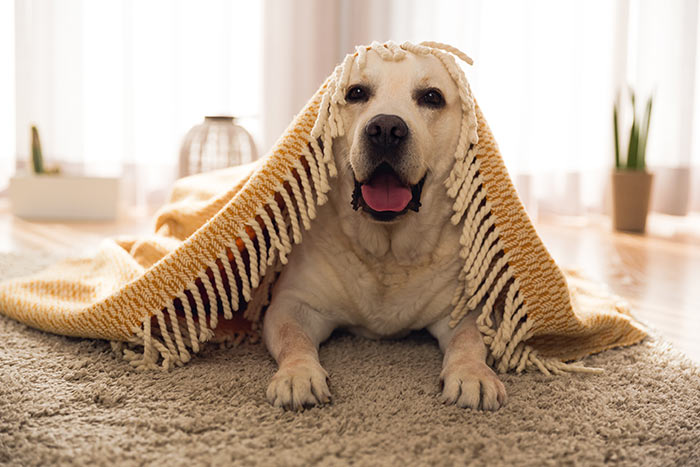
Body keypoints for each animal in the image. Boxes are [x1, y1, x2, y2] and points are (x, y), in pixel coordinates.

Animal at [260, 49, 506, 412]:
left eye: (432, 97)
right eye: (356, 93)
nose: (386, 129)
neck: (387, 253)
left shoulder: (466, 309)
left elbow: (469, 339)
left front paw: (473, 374)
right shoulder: (293, 304)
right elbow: (294, 339)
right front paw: (298, 374)